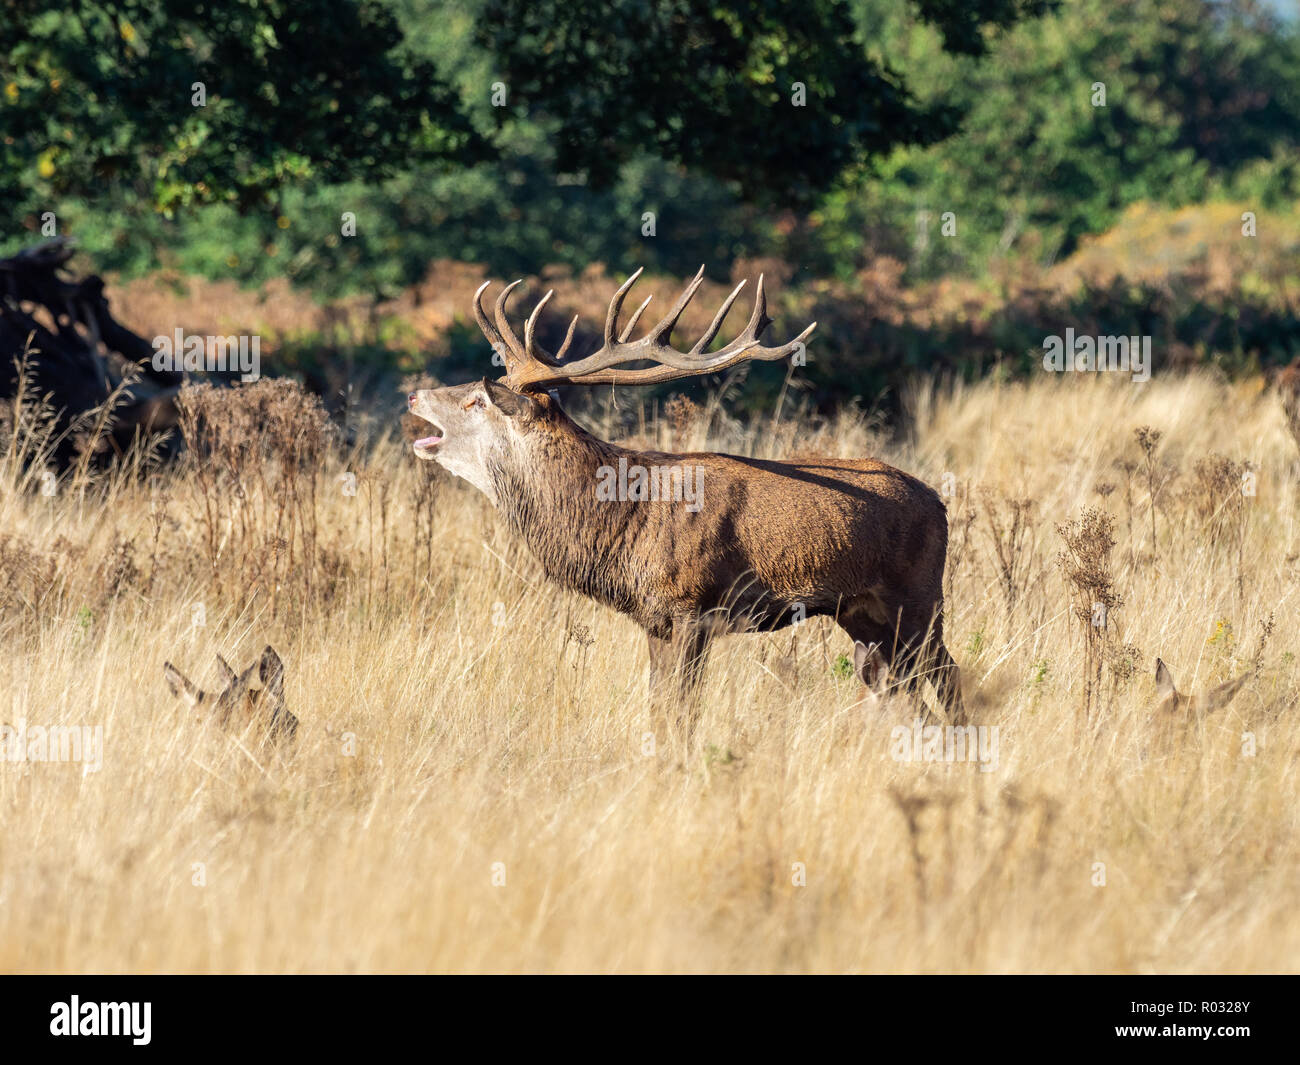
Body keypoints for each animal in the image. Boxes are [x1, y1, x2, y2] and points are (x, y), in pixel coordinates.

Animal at [407, 267, 966, 730]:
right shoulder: (654, 619)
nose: (413, 395)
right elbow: (659, 709)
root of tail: (938, 501)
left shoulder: (690, 605)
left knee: (946, 674)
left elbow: (682, 712)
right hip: (861, 614)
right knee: (902, 686)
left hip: (918, 598)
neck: (619, 521)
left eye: (477, 401)